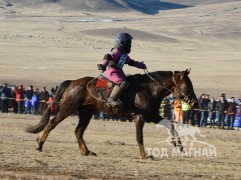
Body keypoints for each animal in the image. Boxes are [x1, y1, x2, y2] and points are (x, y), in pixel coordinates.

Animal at [25, 69, 198, 159]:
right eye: (187, 85)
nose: (195, 102)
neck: (151, 89)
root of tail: (72, 82)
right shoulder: (140, 117)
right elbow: (139, 137)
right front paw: (144, 155)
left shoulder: (152, 116)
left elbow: (170, 125)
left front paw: (179, 146)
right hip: (68, 108)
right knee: (52, 123)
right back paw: (39, 144)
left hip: (86, 112)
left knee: (78, 131)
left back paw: (86, 152)